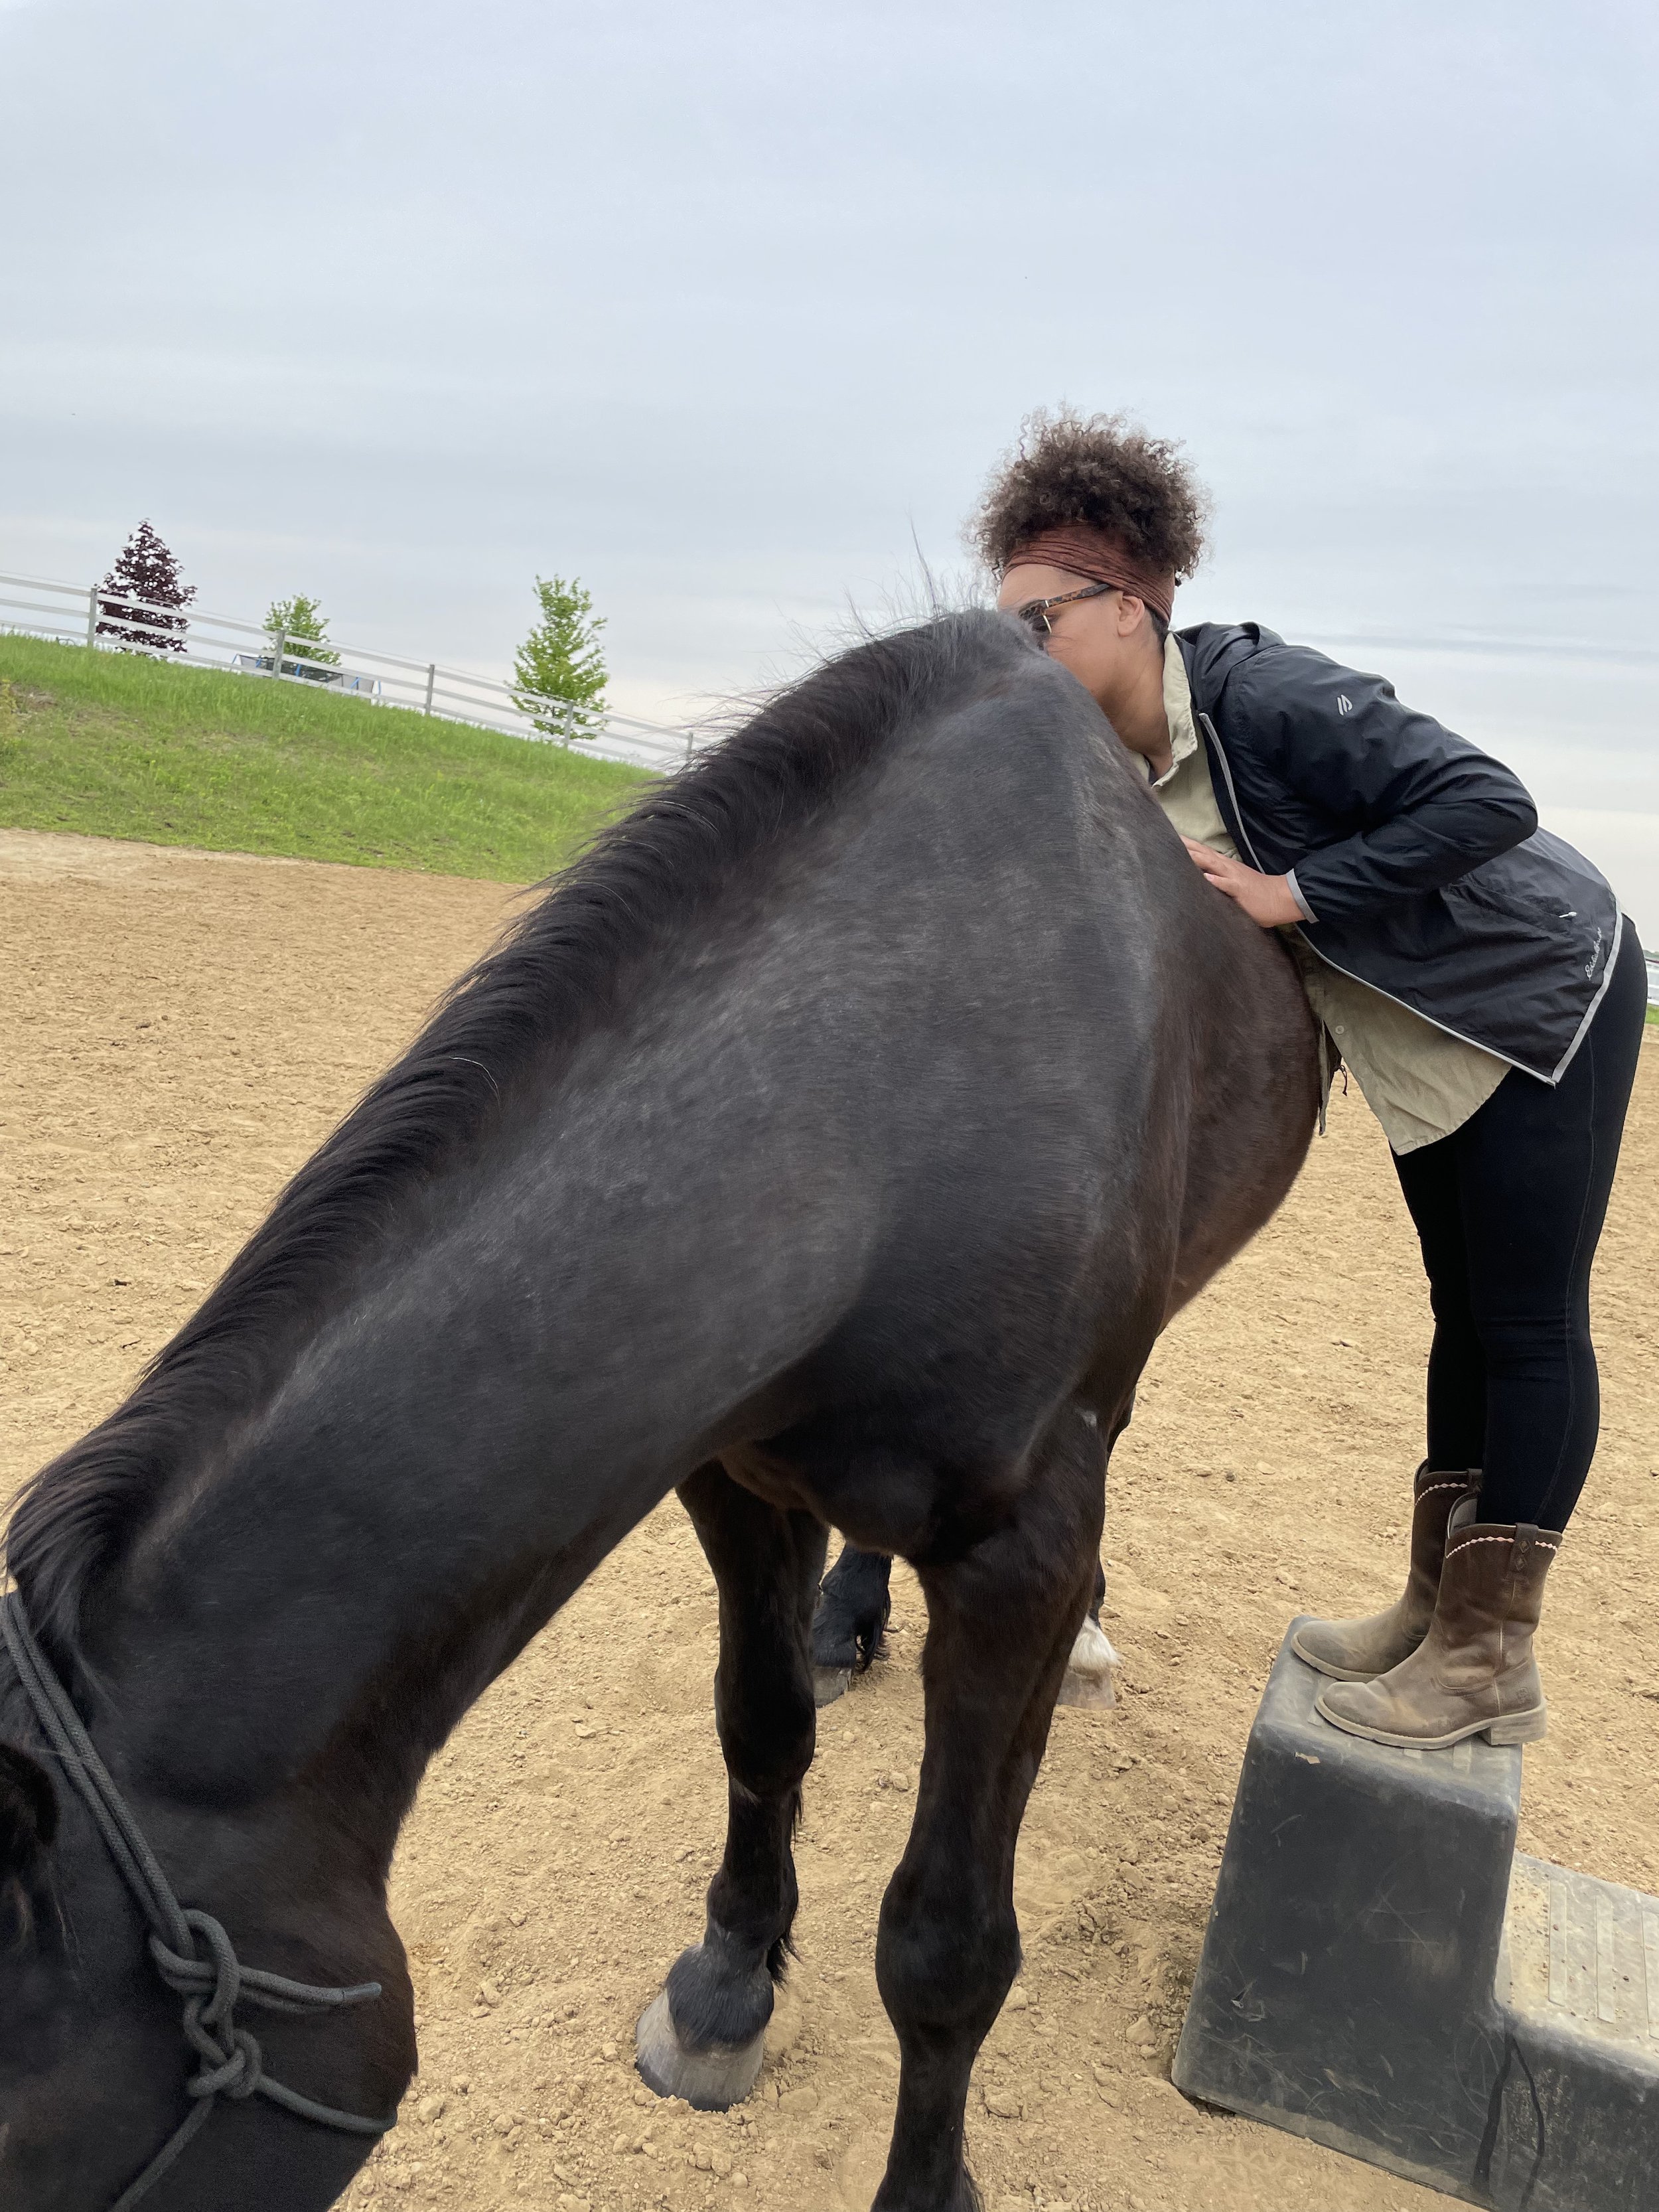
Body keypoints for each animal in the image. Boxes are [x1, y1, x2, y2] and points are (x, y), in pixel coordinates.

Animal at [0, 608, 1317, 2212]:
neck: (898, 1091)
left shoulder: (1017, 1558)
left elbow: (945, 1941)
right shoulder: (734, 1476)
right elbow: (759, 1731)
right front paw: (727, 1989)